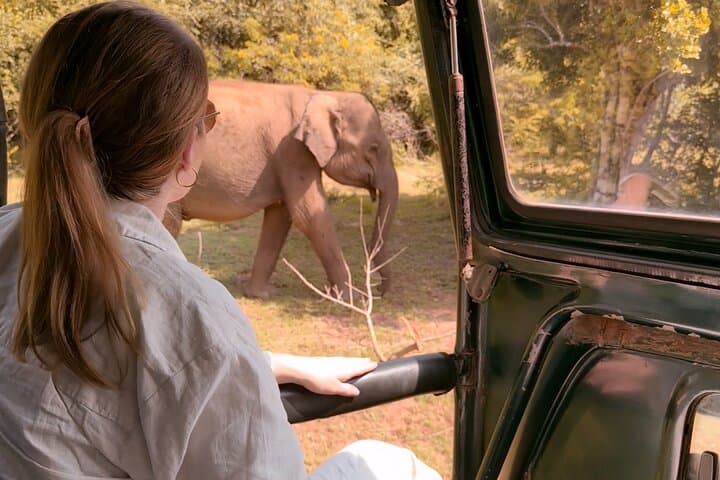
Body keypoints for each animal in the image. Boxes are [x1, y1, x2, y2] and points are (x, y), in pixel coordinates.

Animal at [164, 80, 398, 299]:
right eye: (373, 148)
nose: (380, 292)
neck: (325, 95)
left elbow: (280, 216)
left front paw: (261, 294)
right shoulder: (293, 152)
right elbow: (309, 216)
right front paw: (354, 299)